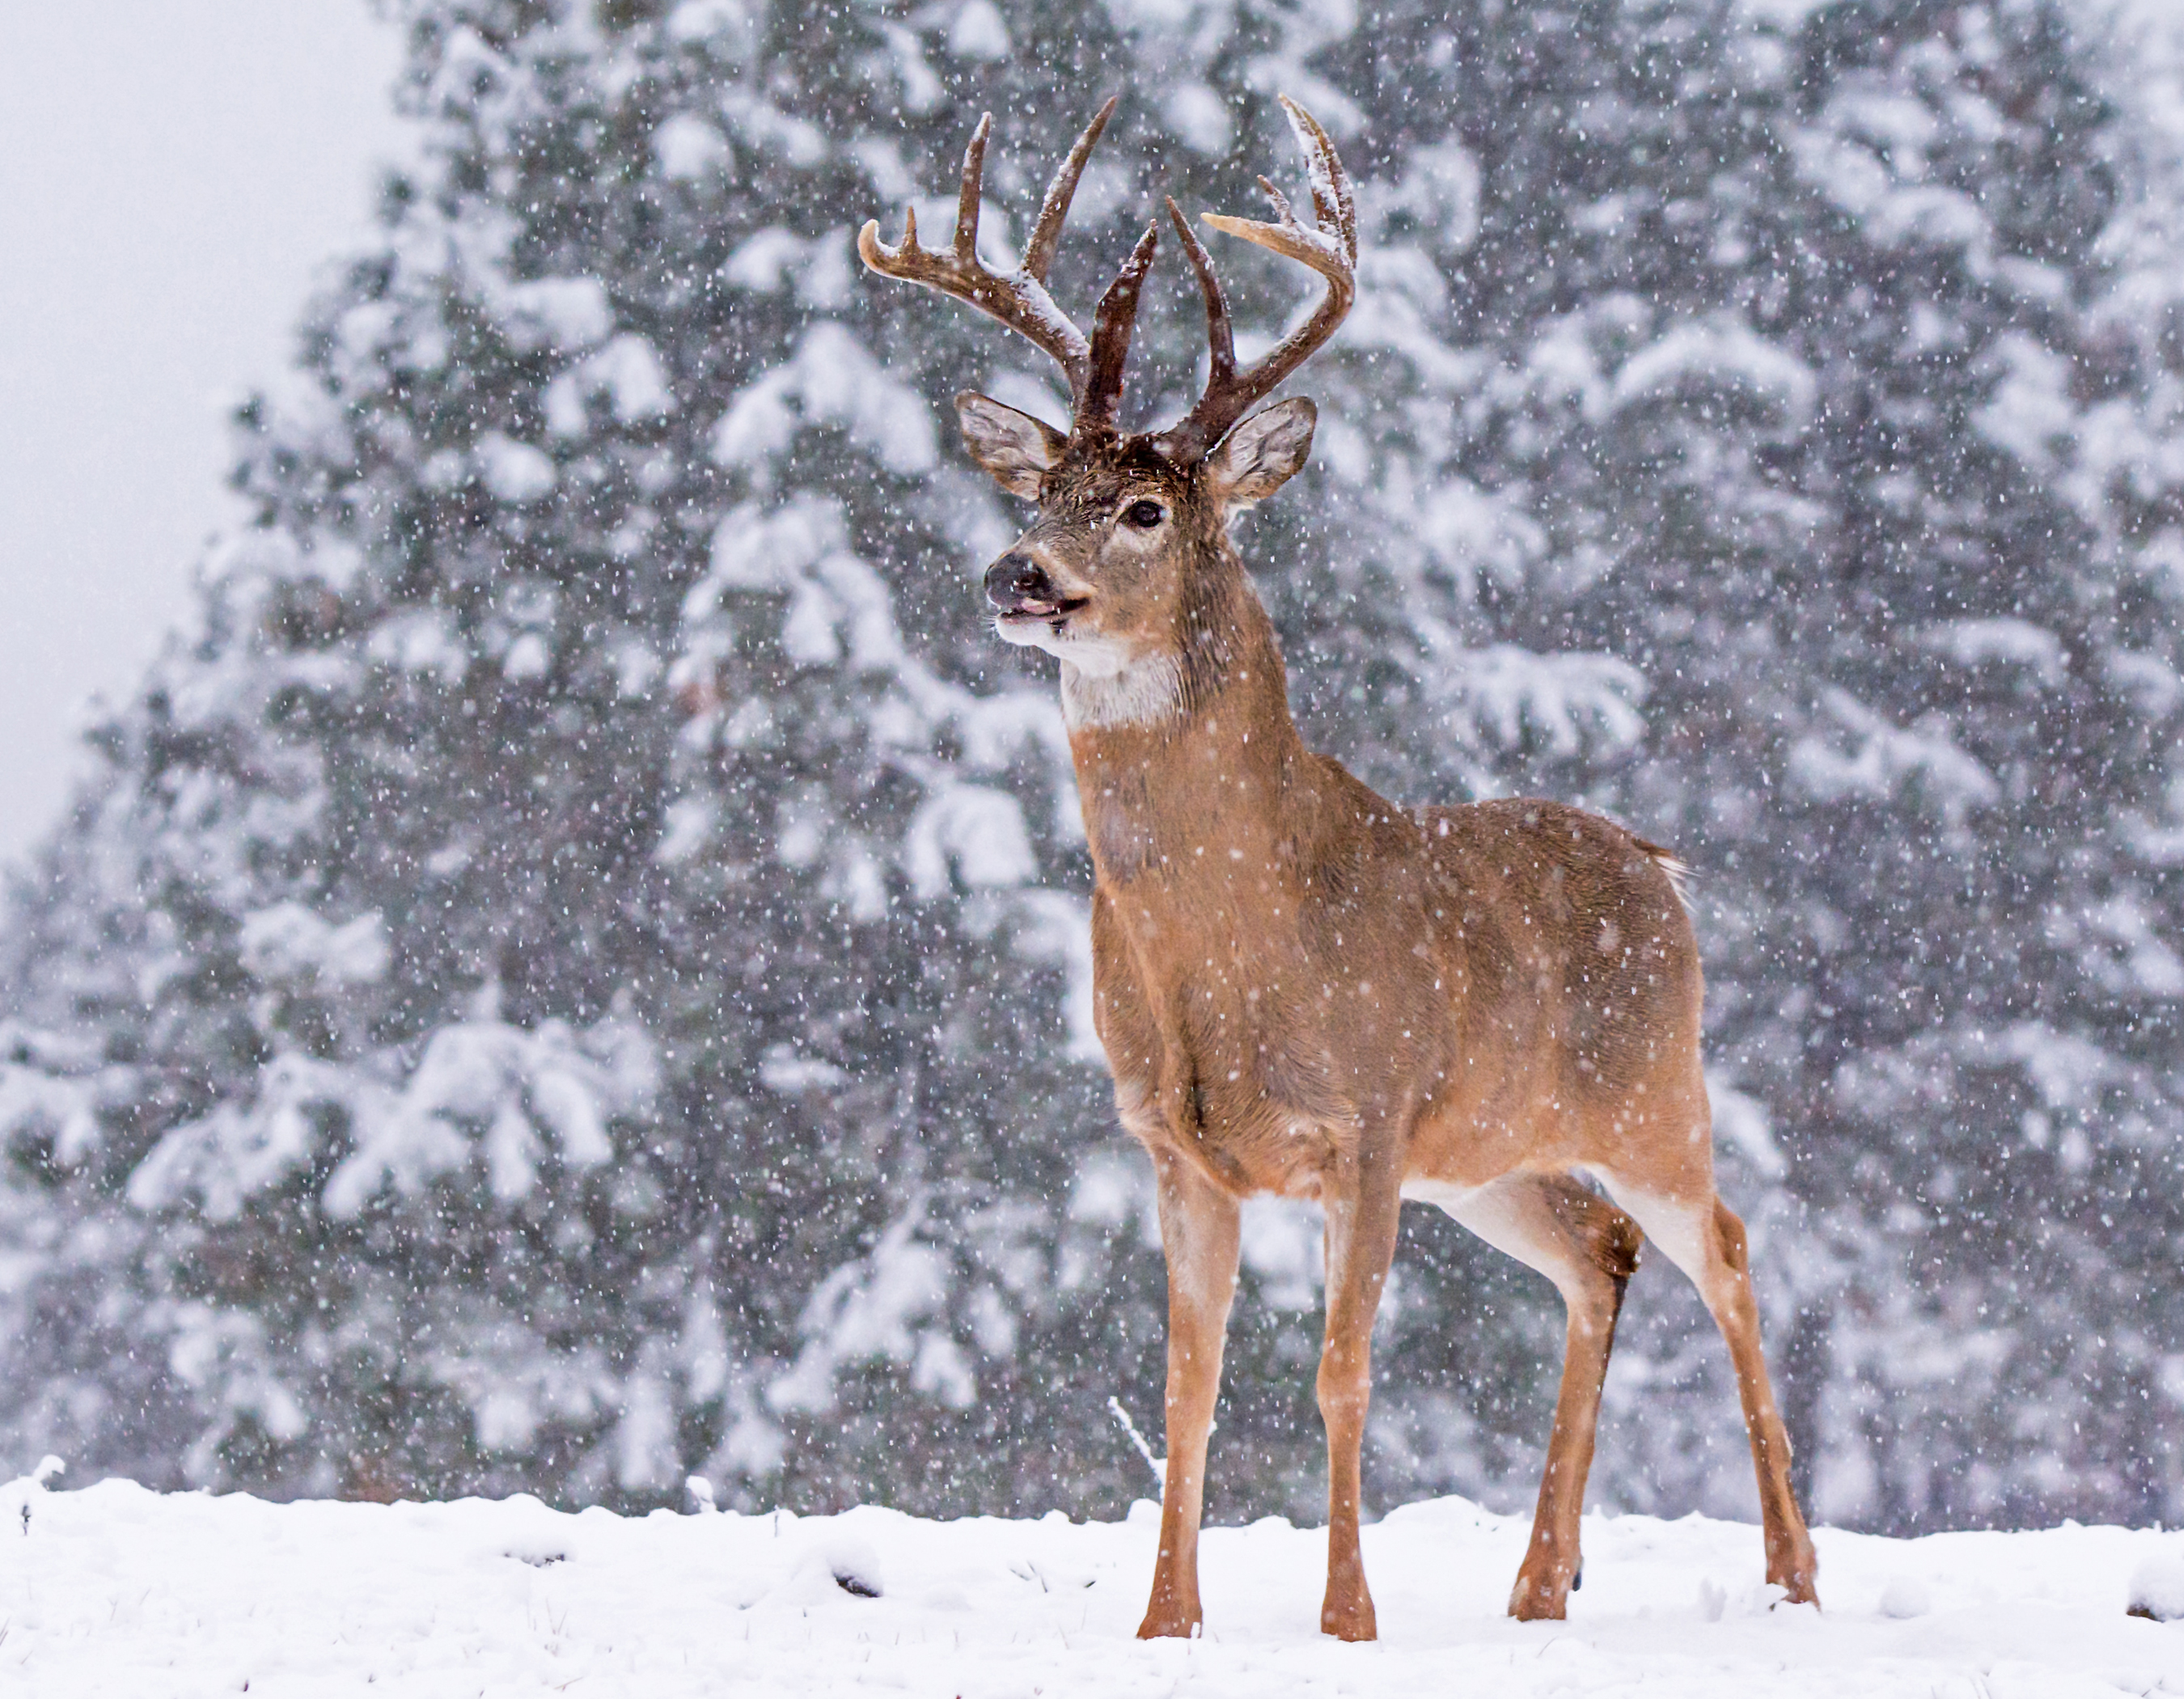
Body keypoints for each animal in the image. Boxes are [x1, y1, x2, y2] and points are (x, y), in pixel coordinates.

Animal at [860, 95, 1817, 1642]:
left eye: (1144, 510)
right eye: (1045, 486)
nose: (1018, 575)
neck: (1237, 944)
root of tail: (1656, 862)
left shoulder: (1366, 1117)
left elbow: (1341, 1370)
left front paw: (1347, 1622)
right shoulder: (1174, 1144)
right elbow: (1187, 1389)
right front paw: (1165, 1625)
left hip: (1650, 1090)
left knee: (1722, 1245)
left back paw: (1793, 1573)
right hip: (1489, 1151)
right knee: (1600, 1254)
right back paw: (1538, 1588)